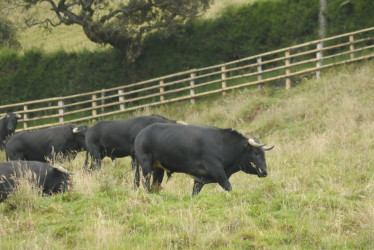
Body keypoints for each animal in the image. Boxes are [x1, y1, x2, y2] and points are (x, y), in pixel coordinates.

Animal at [135, 124, 274, 196]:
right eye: (256, 153)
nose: (265, 172)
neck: (223, 145)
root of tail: (140, 134)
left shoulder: (199, 180)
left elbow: (194, 193)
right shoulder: (219, 173)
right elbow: (229, 187)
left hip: (158, 169)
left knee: (155, 184)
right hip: (146, 165)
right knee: (146, 182)